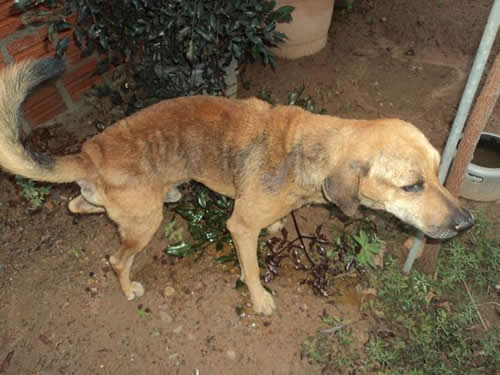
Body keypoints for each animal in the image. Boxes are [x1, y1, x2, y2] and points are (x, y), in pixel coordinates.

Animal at [0, 58, 472, 316]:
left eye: (438, 172)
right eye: (412, 186)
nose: (466, 223)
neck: (312, 150)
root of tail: (90, 153)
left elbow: (275, 225)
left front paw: (278, 231)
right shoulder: (240, 227)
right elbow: (253, 268)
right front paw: (259, 297)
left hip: (126, 208)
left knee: (78, 205)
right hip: (144, 224)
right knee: (117, 259)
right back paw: (128, 285)